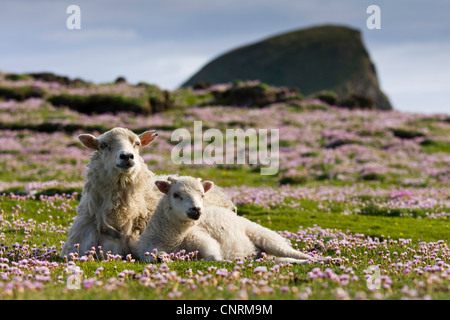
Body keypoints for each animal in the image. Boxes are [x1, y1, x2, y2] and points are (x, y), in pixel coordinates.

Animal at [137, 176, 316, 264]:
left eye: (203, 195)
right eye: (176, 195)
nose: (196, 210)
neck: (173, 238)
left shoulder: (201, 238)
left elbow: (213, 257)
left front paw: (227, 262)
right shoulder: (146, 249)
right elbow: (155, 257)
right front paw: (162, 258)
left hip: (267, 238)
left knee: (295, 254)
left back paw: (317, 260)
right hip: (269, 255)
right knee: (285, 260)